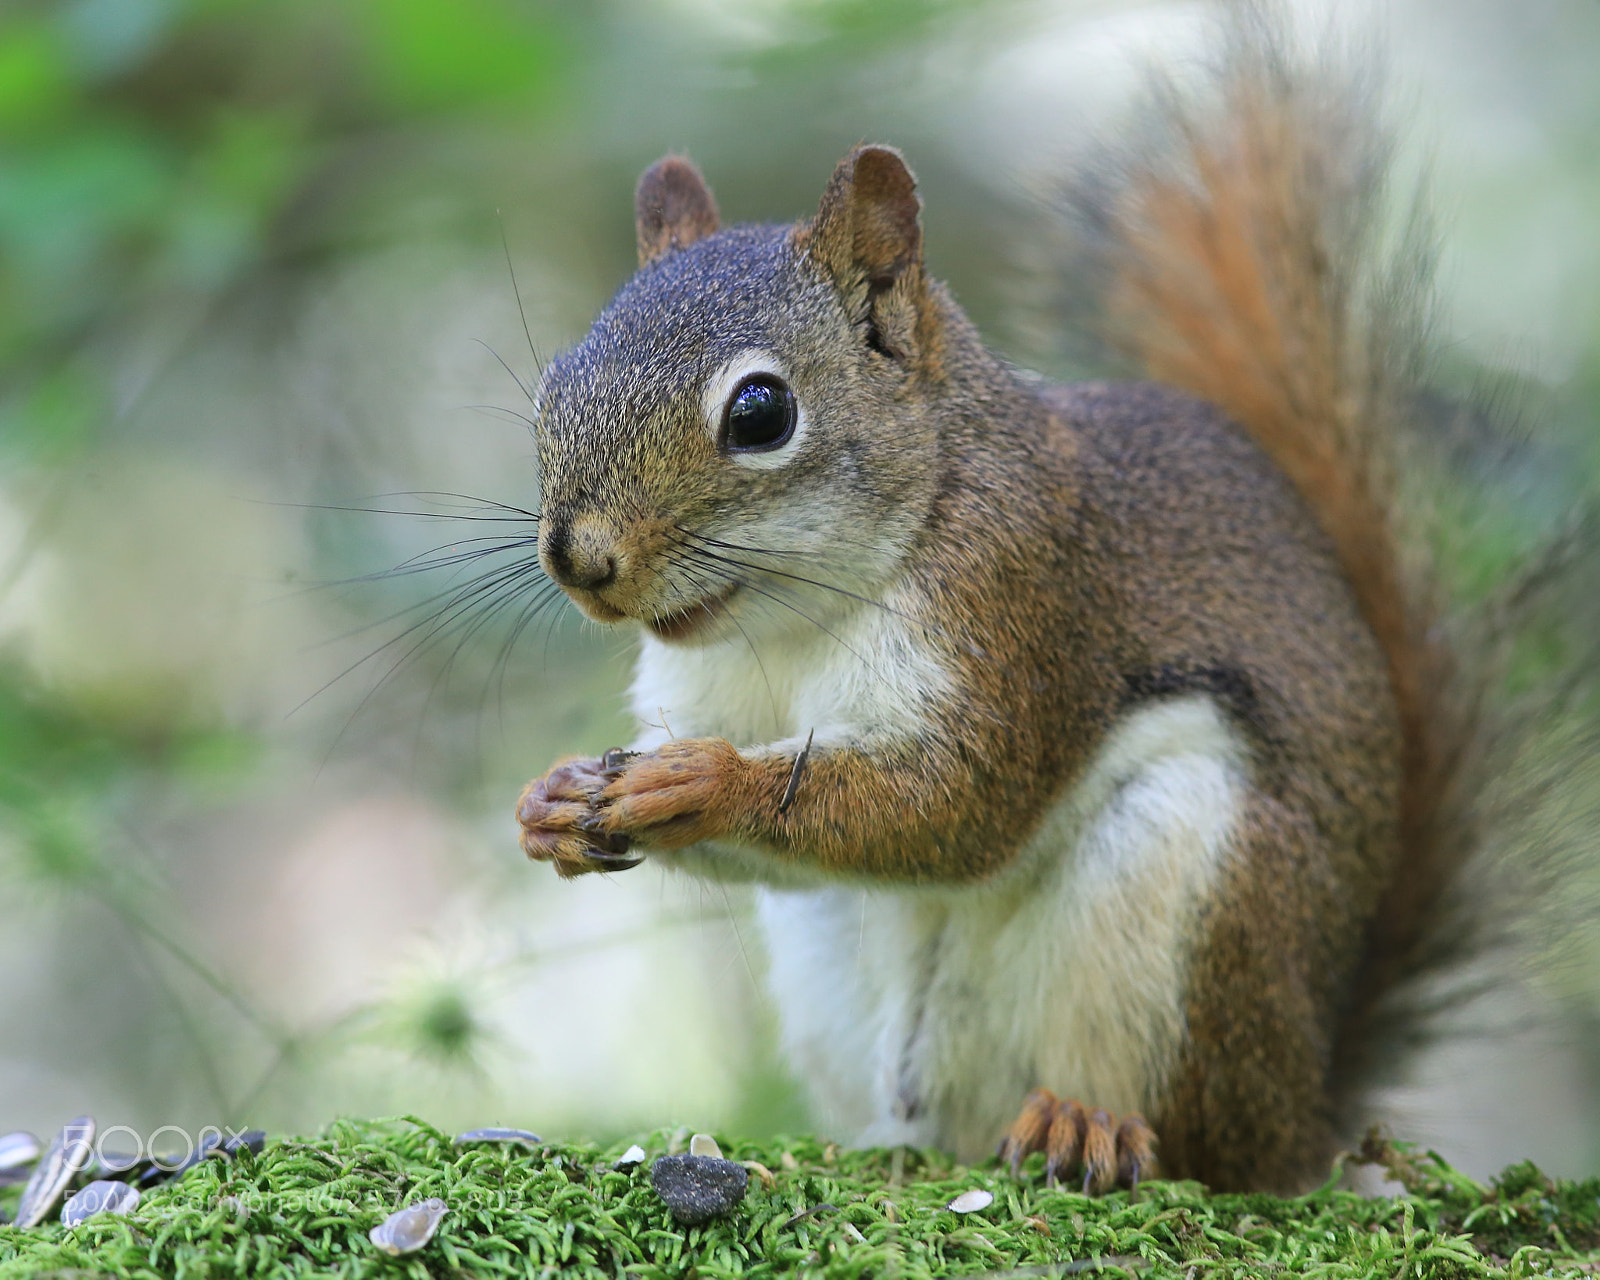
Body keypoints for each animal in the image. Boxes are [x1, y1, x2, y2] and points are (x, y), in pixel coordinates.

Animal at [511, 21, 1595, 1193]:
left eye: (761, 411)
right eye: (554, 386)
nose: (578, 558)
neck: (786, 624)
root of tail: (1304, 1108)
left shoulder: (1024, 604)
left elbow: (956, 803)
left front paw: (704, 783)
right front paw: (553, 803)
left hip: (1193, 897)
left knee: (1186, 1134)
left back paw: (1086, 1123)